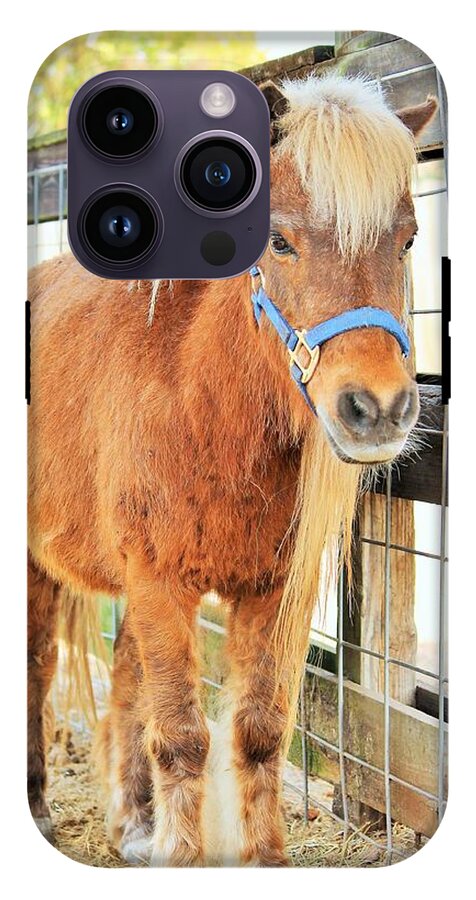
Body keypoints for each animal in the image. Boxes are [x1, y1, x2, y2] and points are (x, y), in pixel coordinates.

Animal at [27, 73, 437, 866]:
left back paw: (133, 823)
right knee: (37, 671)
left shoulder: (267, 590)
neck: (201, 400)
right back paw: (37, 807)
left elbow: (258, 733)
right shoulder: (159, 582)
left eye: (407, 238)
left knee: (125, 681)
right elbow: (184, 739)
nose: (377, 408)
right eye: (278, 240)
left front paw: (260, 858)